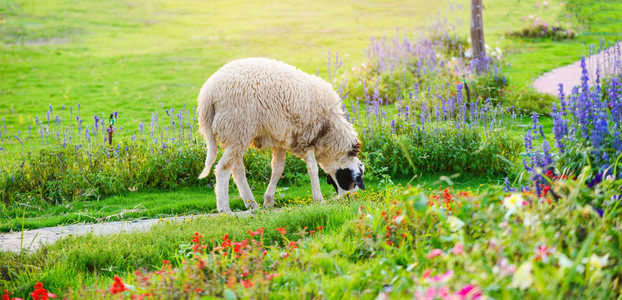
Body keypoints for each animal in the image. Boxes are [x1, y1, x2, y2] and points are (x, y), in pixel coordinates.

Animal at [197, 57, 366, 212]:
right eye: (351, 178)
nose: (348, 200)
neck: (330, 134)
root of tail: (208, 94)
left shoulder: (282, 138)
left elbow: (278, 168)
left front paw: (269, 201)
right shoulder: (306, 138)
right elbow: (313, 169)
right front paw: (319, 199)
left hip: (237, 134)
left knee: (237, 168)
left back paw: (252, 203)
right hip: (237, 128)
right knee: (223, 168)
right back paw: (224, 208)